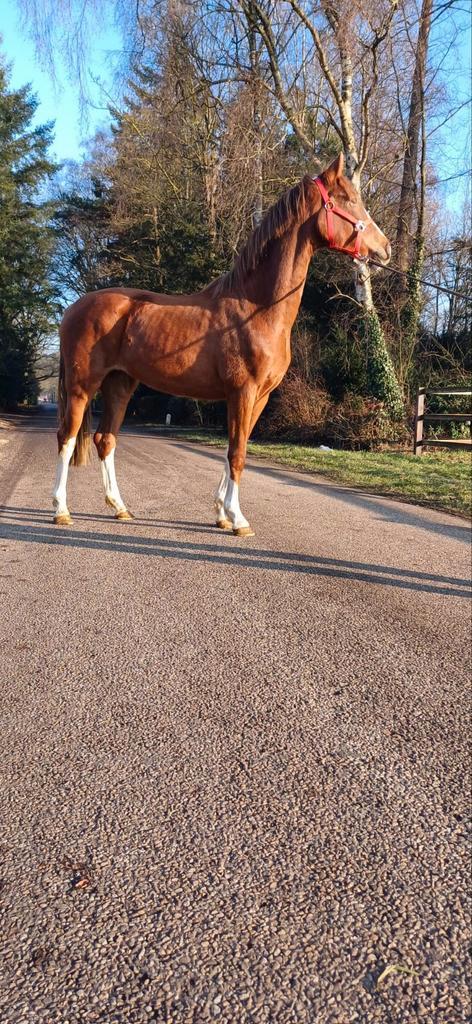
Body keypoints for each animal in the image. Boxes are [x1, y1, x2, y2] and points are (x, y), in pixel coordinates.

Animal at [53, 152, 391, 536]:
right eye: (347, 199)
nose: (385, 249)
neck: (256, 308)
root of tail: (74, 308)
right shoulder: (242, 391)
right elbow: (236, 454)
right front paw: (238, 519)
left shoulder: (259, 397)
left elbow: (235, 450)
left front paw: (221, 513)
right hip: (83, 386)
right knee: (66, 438)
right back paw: (61, 510)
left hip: (119, 385)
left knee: (105, 440)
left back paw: (120, 507)